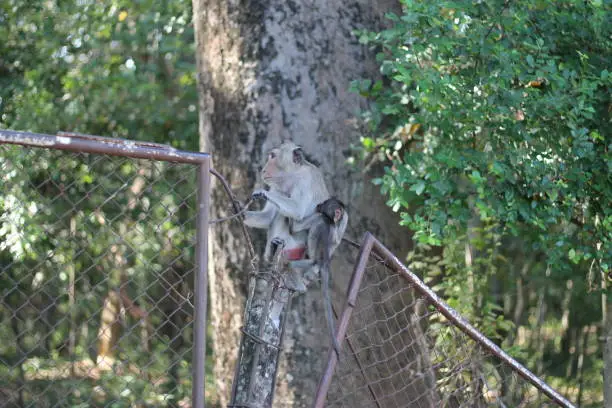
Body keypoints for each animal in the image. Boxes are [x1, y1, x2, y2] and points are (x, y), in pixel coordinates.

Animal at [290, 198, 346, 356]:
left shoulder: (319, 217)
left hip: (313, 262)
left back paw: (300, 285)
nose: (318, 205)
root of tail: (324, 263)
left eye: (325, 203)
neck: (330, 221)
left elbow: (295, 228)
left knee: (292, 264)